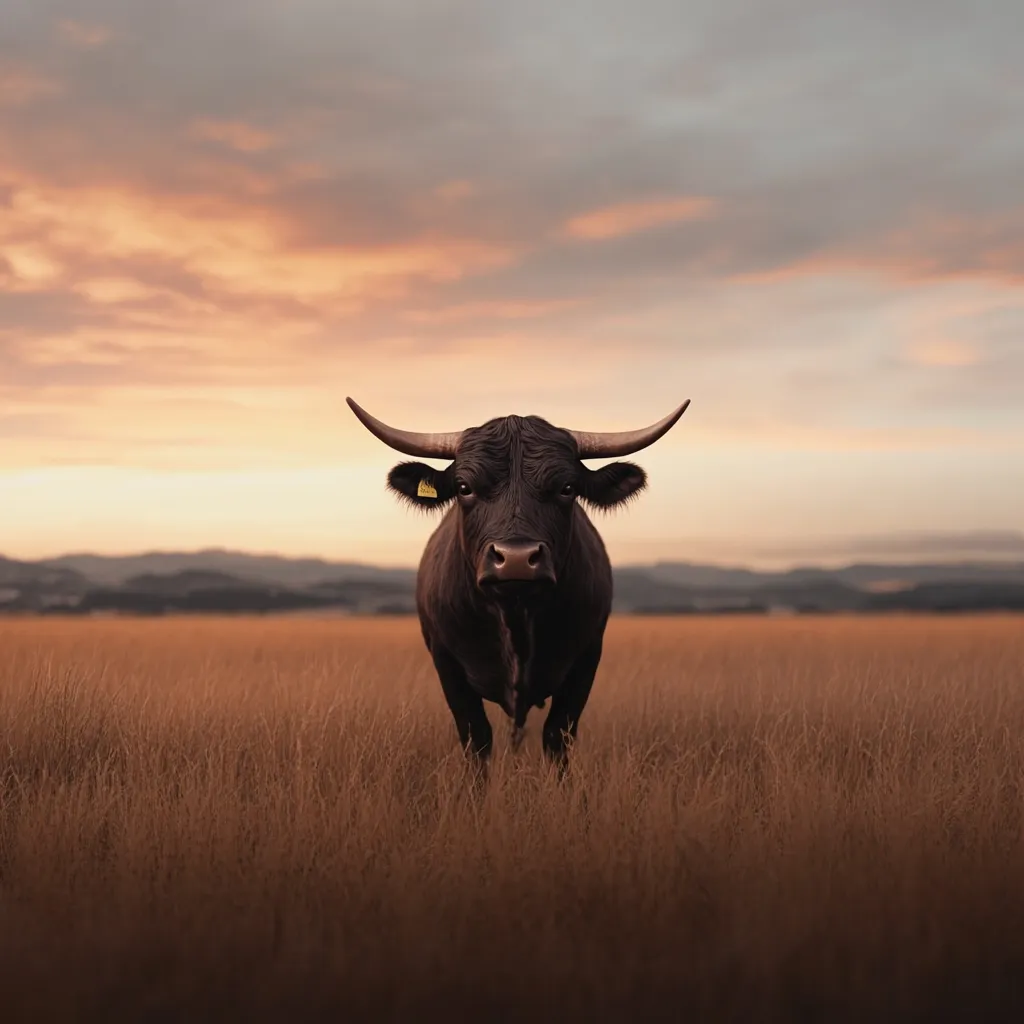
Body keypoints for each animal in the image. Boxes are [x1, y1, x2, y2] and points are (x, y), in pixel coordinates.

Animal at [346, 396, 690, 769]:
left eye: (567, 488)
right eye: (464, 488)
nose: (515, 557)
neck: (515, 616)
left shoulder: (586, 658)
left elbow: (557, 737)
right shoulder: (446, 661)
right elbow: (476, 737)